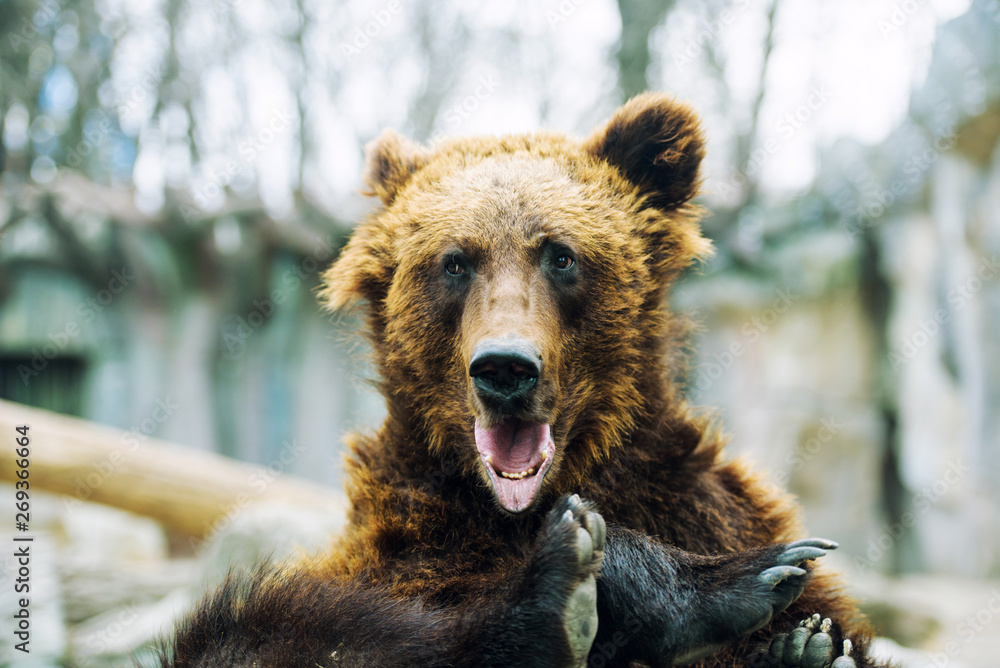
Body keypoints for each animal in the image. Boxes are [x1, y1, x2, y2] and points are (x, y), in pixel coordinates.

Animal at [161, 93, 885, 668]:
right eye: (454, 262)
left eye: (561, 255)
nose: (504, 367)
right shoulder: (408, 542)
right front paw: (735, 581)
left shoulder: (695, 498)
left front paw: (804, 634)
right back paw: (558, 604)